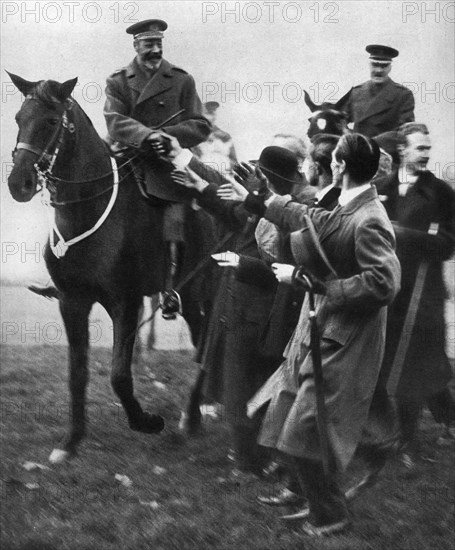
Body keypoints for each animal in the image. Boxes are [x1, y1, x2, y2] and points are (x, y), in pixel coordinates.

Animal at [6, 72, 214, 462]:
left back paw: (191, 418)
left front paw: (147, 421)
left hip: (198, 291)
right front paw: (70, 442)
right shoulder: (72, 301)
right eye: (18, 119)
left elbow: (119, 375)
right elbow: (77, 373)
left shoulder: (126, 303)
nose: (18, 184)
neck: (86, 209)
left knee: (204, 341)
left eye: (51, 121)